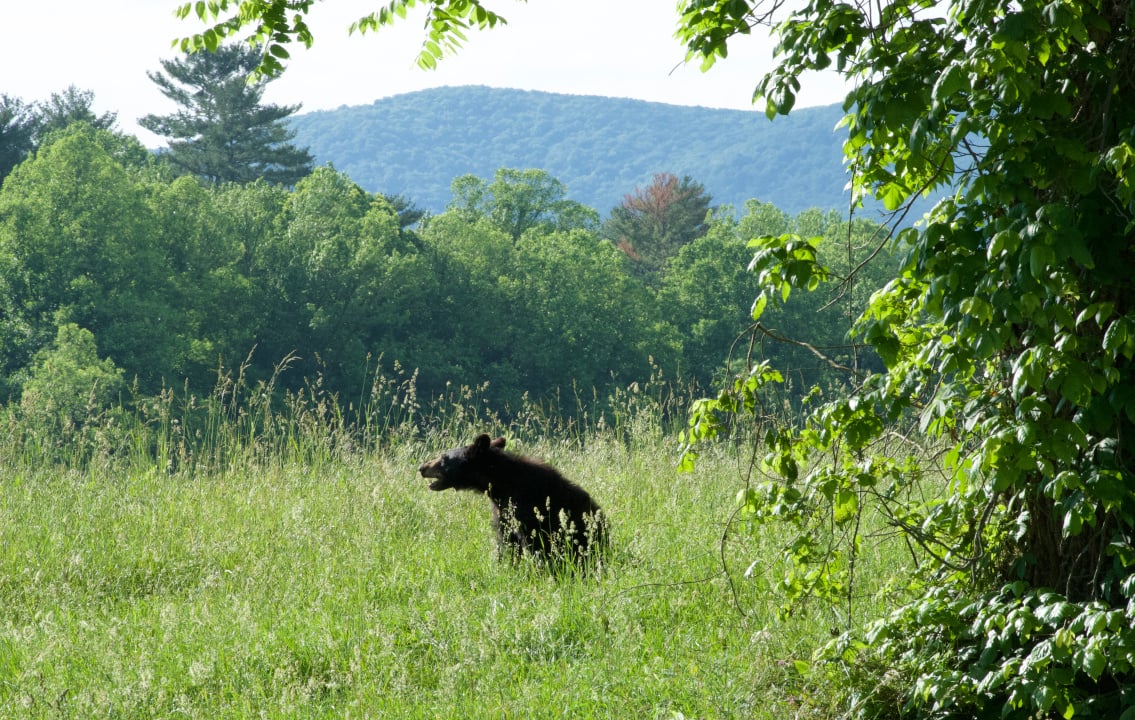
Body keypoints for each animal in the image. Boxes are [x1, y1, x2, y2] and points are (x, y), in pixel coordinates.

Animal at [419, 431, 612, 561]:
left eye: (444, 458)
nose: (422, 468)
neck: (501, 485)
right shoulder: (503, 512)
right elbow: (506, 541)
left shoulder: (528, 510)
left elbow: (535, 543)